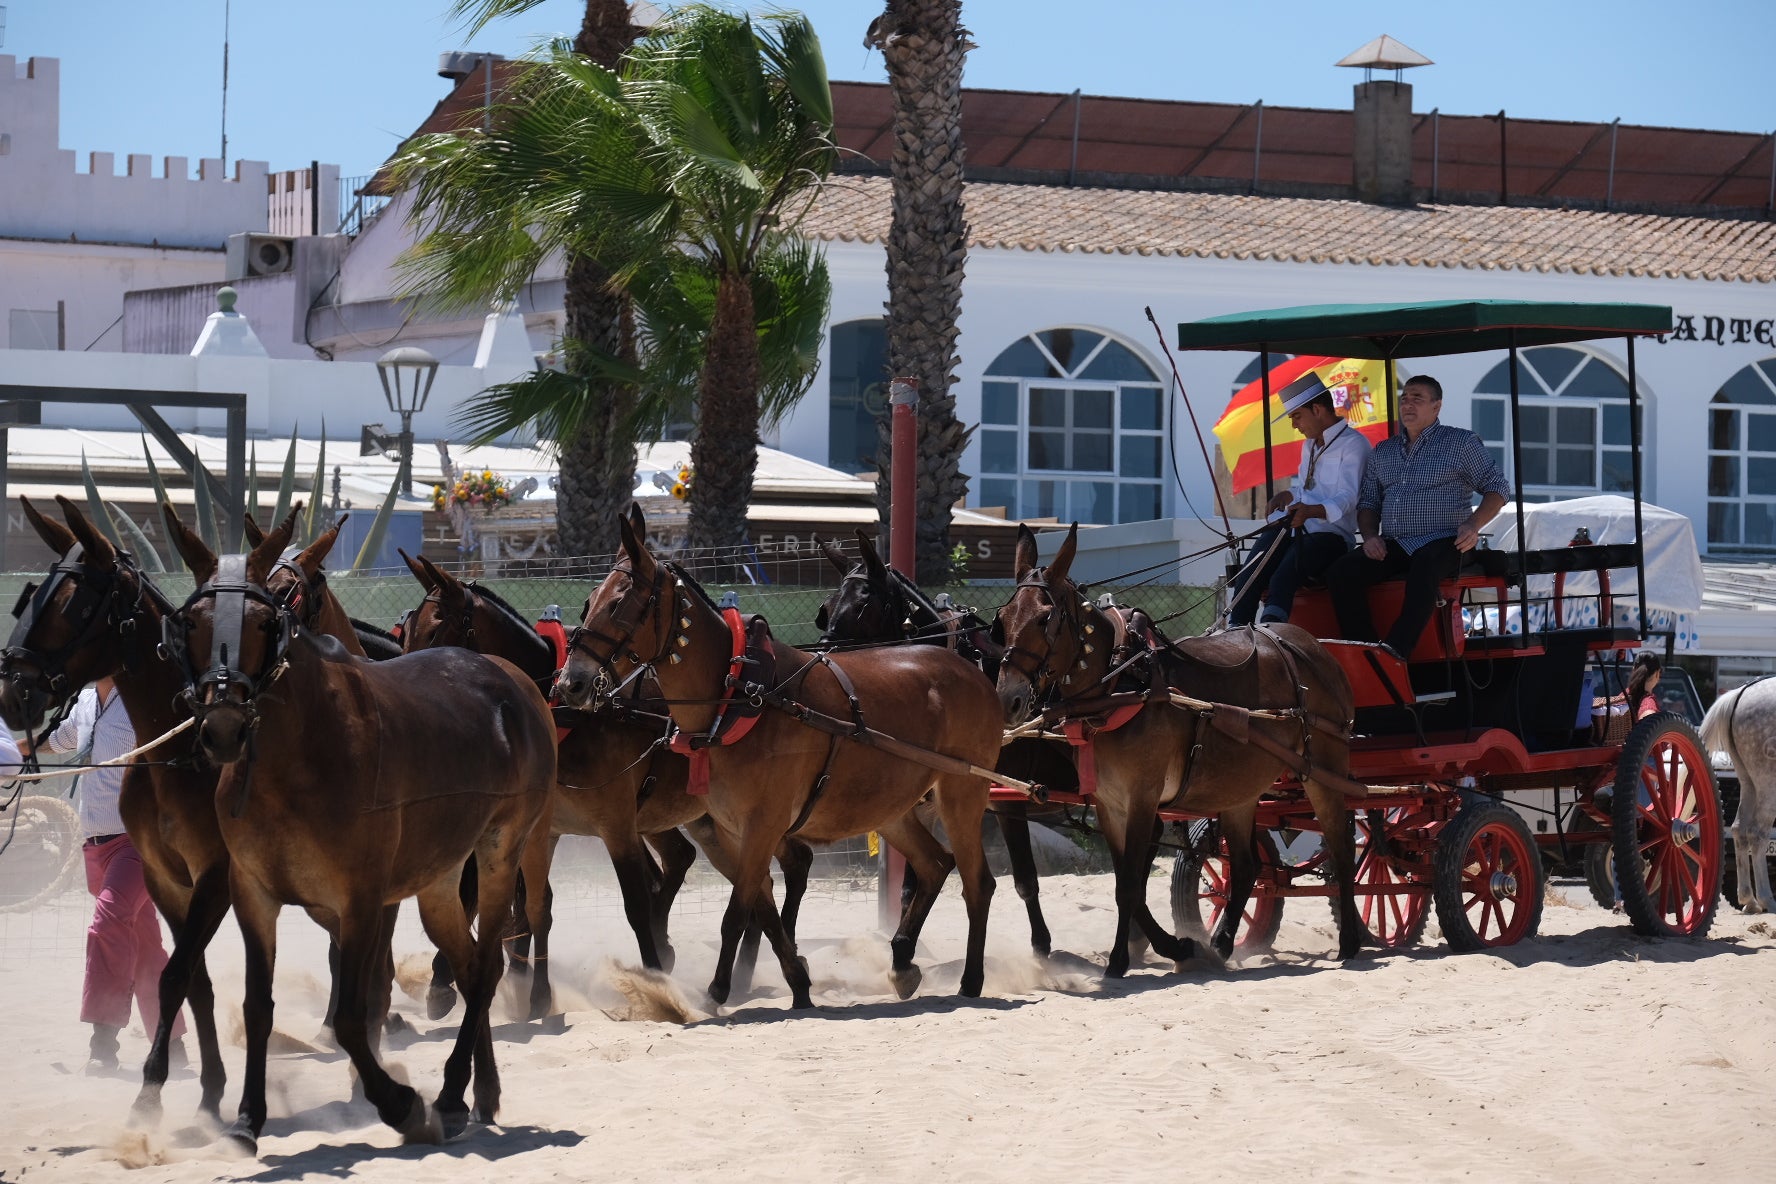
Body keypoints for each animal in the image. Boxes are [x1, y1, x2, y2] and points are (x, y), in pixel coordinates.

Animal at [1697, 674, 1776, 915]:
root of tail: (1741, 693)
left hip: (1748, 783)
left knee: (1739, 829)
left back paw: (1749, 900)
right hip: (1768, 783)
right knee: (1757, 834)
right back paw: (1767, 899)